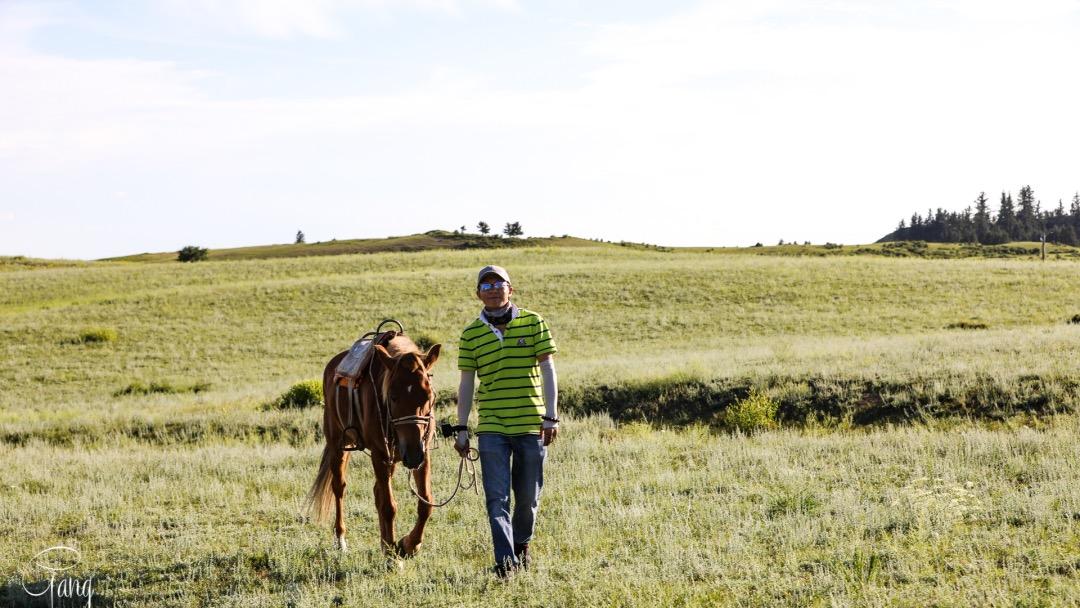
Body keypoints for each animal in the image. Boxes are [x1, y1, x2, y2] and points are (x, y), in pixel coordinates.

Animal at [302, 334, 440, 557]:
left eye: (428, 395)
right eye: (392, 396)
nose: (411, 454)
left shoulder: (423, 454)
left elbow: (425, 503)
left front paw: (408, 544)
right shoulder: (380, 455)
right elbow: (389, 506)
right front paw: (393, 555)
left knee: (377, 492)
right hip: (337, 445)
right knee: (339, 488)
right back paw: (341, 540)